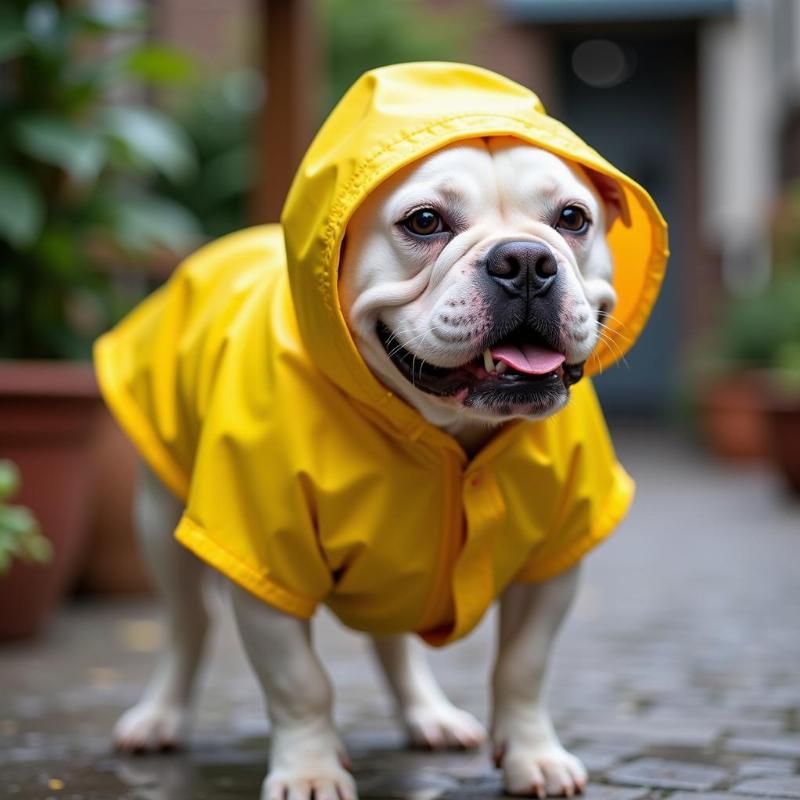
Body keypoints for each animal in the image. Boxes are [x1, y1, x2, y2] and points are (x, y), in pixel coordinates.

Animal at [95, 62, 668, 800]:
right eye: (424, 221)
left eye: (573, 219)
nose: (524, 260)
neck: (450, 432)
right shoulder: (262, 557)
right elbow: (299, 682)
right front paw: (309, 770)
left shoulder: (554, 559)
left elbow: (523, 666)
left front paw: (532, 756)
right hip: (161, 519)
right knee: (187, 627)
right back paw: (158, 719)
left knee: (391, 639)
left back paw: (430, 716)